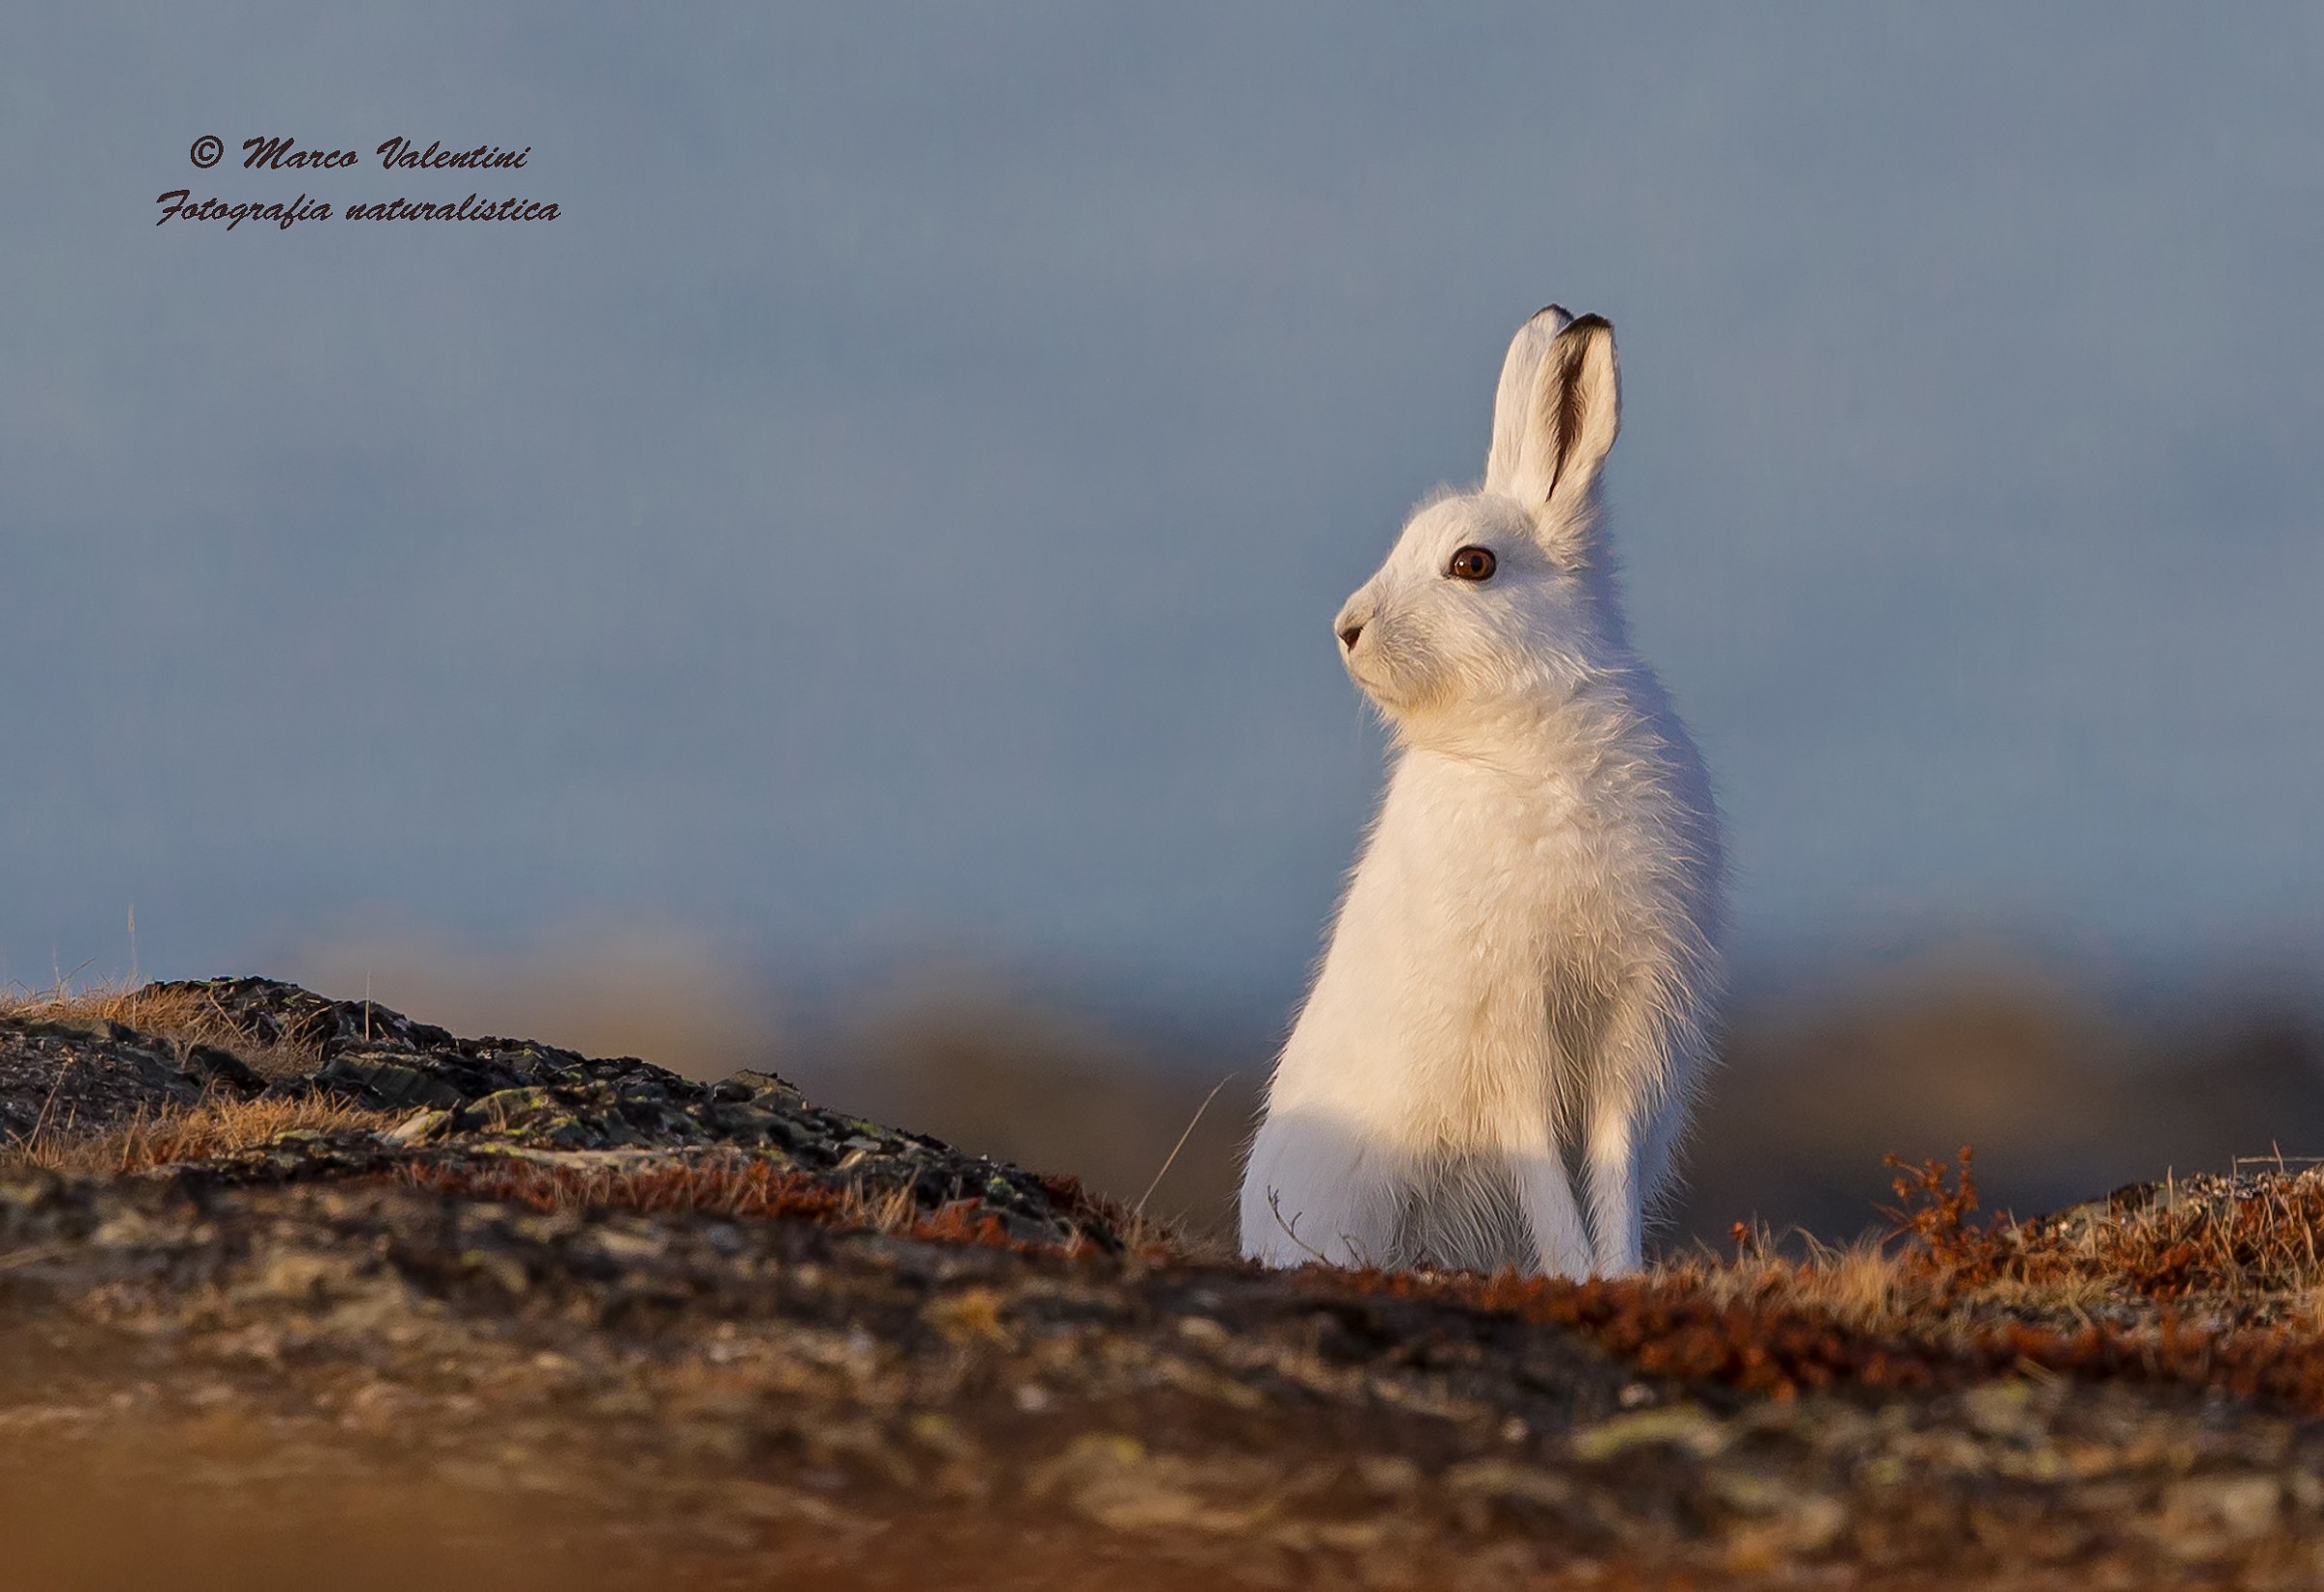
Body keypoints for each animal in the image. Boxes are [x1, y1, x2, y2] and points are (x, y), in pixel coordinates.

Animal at [1239, 304, 1724, 1278]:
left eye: (1473, 565)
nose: (1347, 628)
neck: (1523, 735)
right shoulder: (1506, 1025)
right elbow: (1539, 1160)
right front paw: (1577, 1274)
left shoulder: (1634, 1023)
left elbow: (1609, 1160)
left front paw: (1618, 1275)